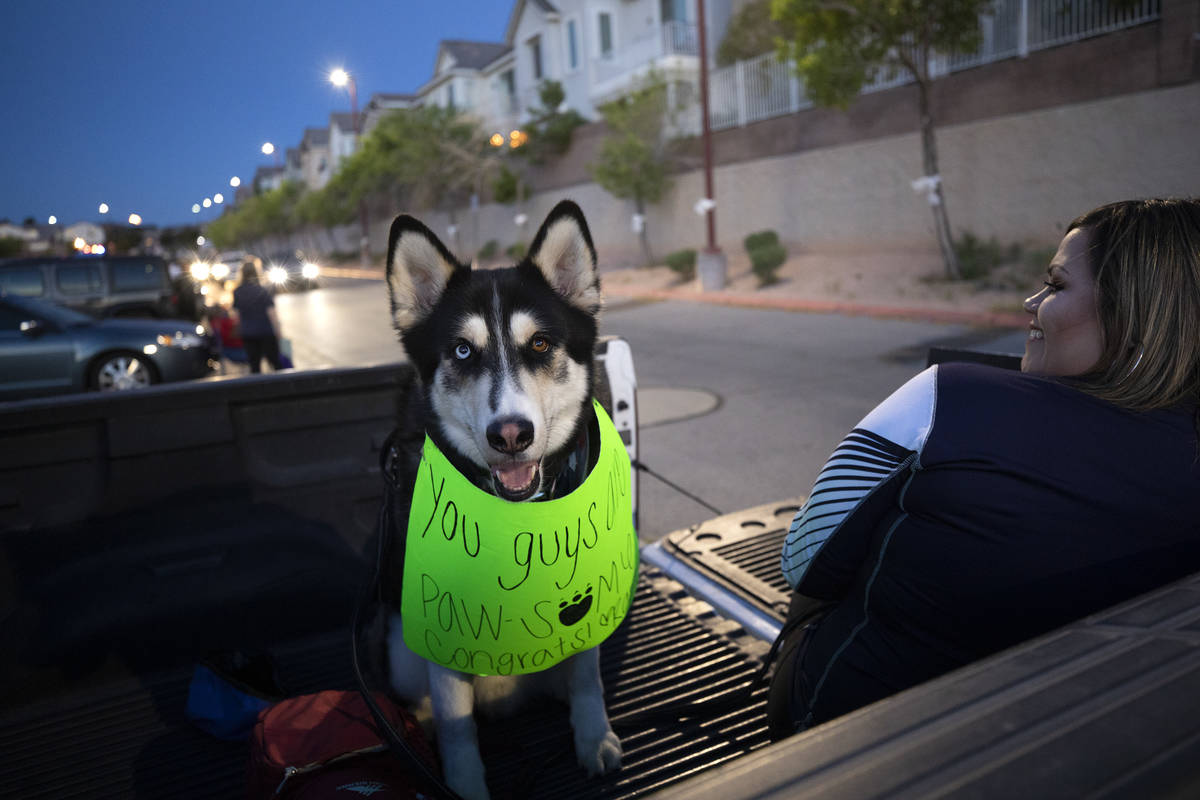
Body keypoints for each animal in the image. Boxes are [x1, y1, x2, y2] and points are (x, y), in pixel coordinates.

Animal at [379, 201, 624, 800]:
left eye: (539, 344)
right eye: (463, 350)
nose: (510, 434)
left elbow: (588, 679)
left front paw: (593, 738)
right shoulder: (436, 625)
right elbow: (456, 727)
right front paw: (463, 785)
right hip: (399, 651)